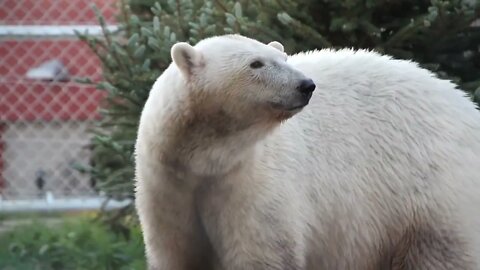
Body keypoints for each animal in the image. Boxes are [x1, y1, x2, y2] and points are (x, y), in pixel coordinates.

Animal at [133, 34, 480, 268]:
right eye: (256, 63)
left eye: (285, 59)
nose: (306, 85)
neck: (206, 157)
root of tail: (466, 107)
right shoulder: (167, 185)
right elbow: (177, 250)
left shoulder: (253, 185)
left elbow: (264, 251)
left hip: (430, 193)